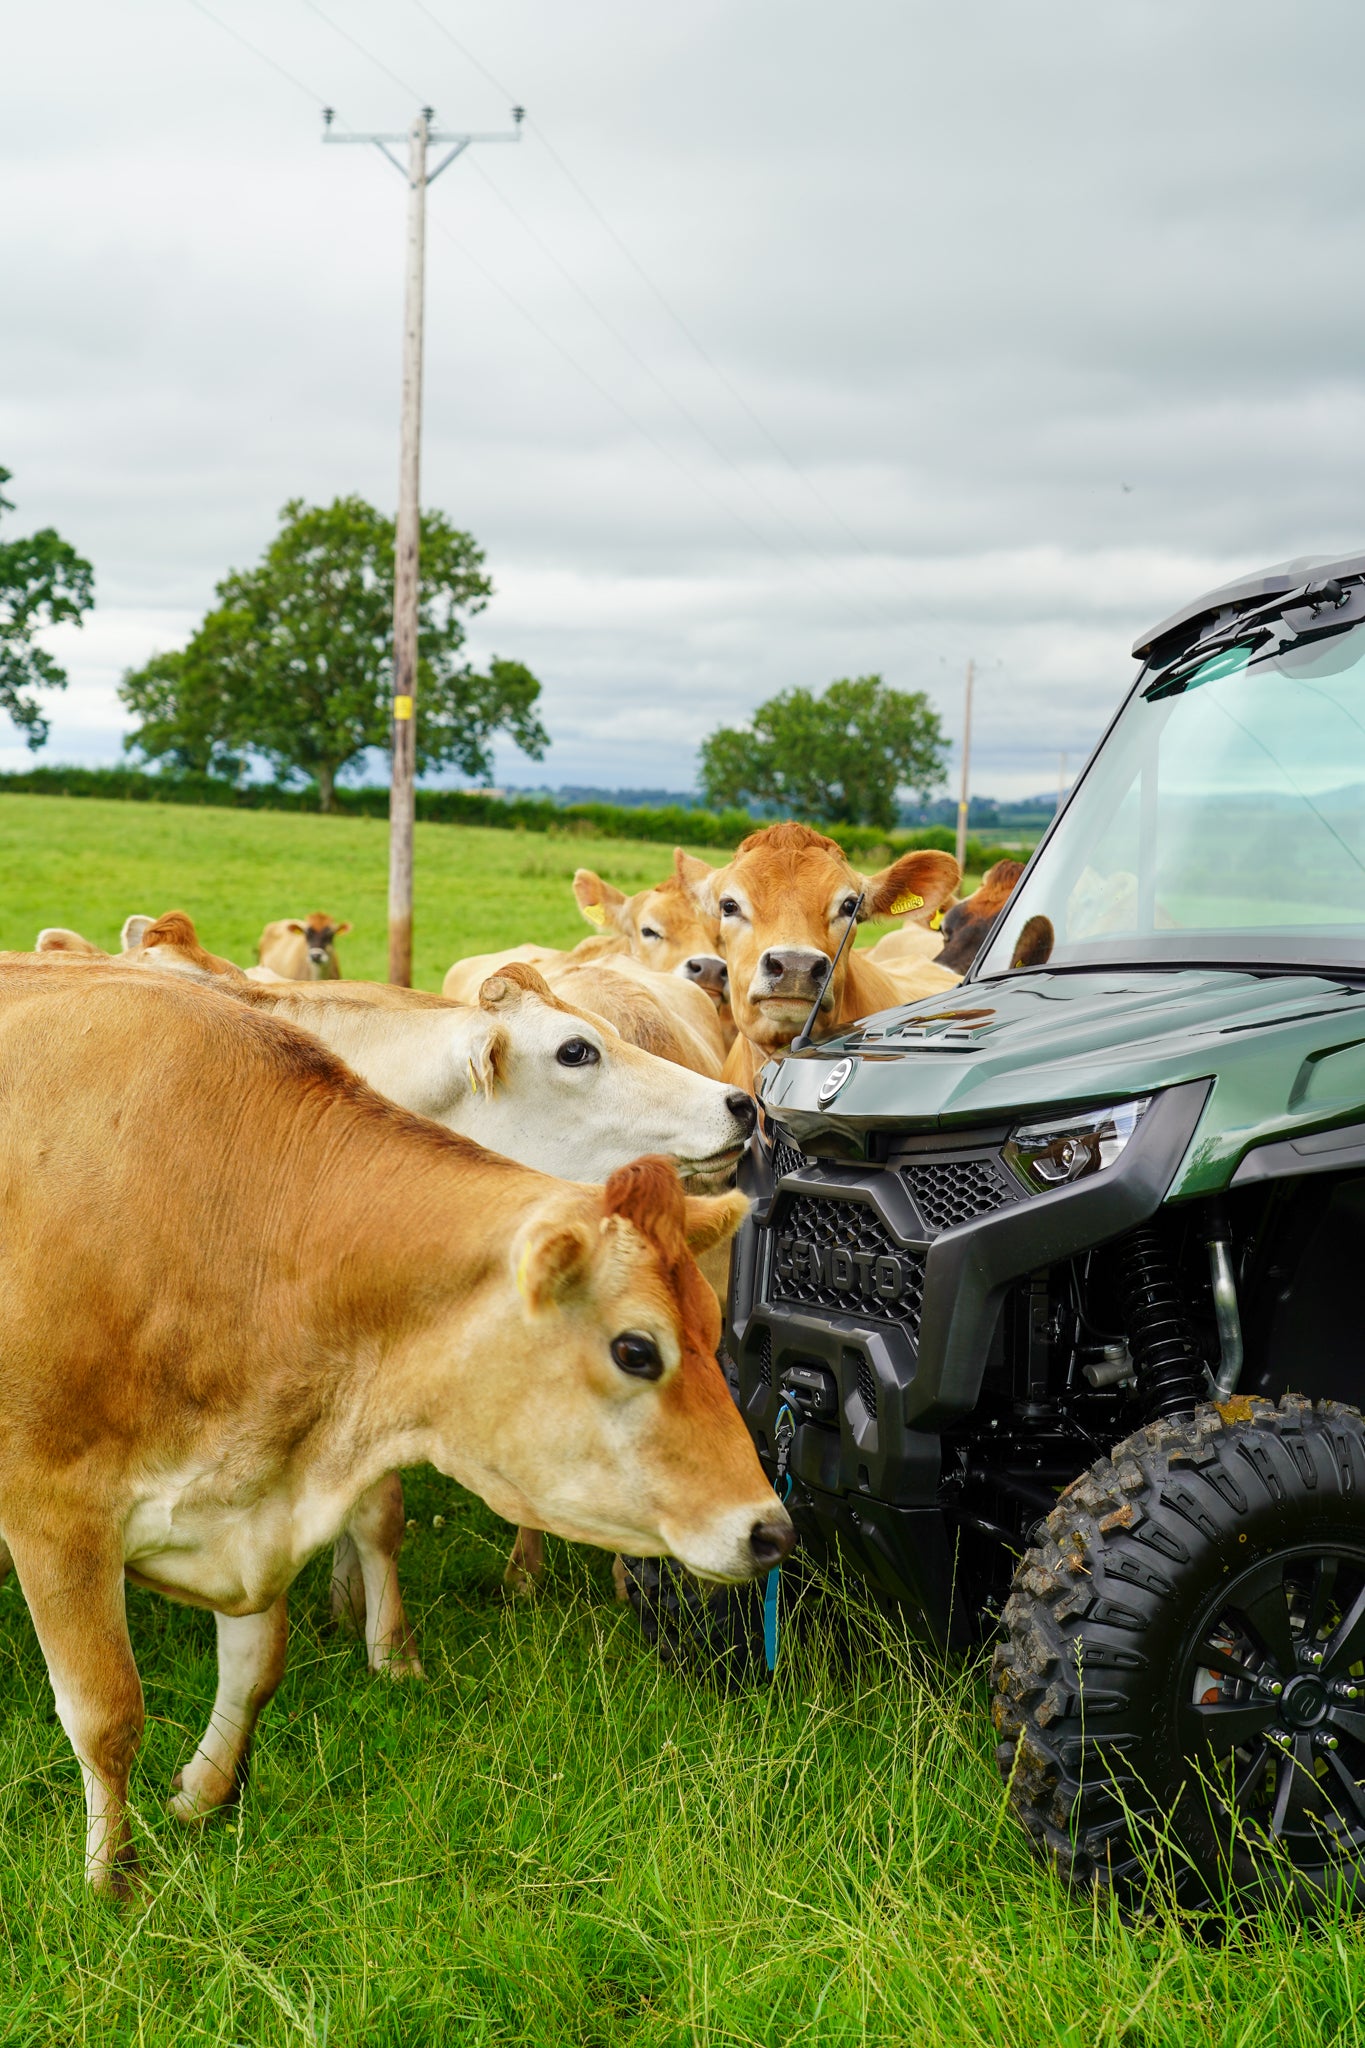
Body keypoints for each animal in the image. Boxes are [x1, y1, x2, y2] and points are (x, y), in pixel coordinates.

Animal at [0, 965, 787, 1891]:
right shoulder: (55, 1512)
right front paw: (109, 1883)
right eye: (575, 1050)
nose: (739, 1103)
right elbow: (107, 1711)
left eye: (711, 1328)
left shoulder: (260, 1485)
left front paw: (205, 1792)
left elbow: (261, 1660)